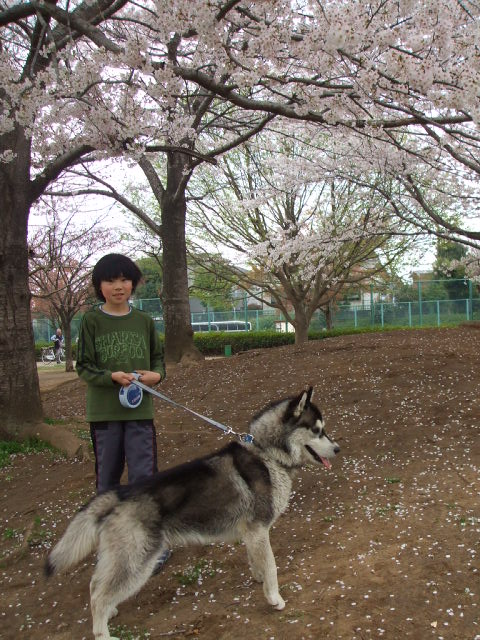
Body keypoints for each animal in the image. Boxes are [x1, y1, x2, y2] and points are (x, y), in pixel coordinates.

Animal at [45, 388, 338, 636]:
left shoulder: (252, 533)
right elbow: (272, 567)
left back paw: (110, 612)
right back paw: (103, 632)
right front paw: (274, 597)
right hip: (137, 562)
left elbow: (257, 561)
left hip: (123, 559)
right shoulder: (258, 529)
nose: (337, 448)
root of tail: (120, 493)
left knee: (96, 585)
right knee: (97, 595)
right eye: (316, 430)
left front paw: (259, 578)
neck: (266, 453)